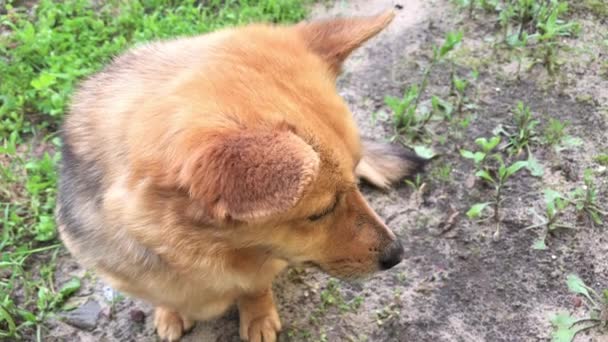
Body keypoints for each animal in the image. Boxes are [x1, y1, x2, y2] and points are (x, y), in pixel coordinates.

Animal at [58, 9, 422, 340]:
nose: (398, 253)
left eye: (353, 183)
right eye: (320, 212)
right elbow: (163, 295)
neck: (201, 250)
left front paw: (258, 315)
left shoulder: (262, 263)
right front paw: (170, 311)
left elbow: (255, 287)